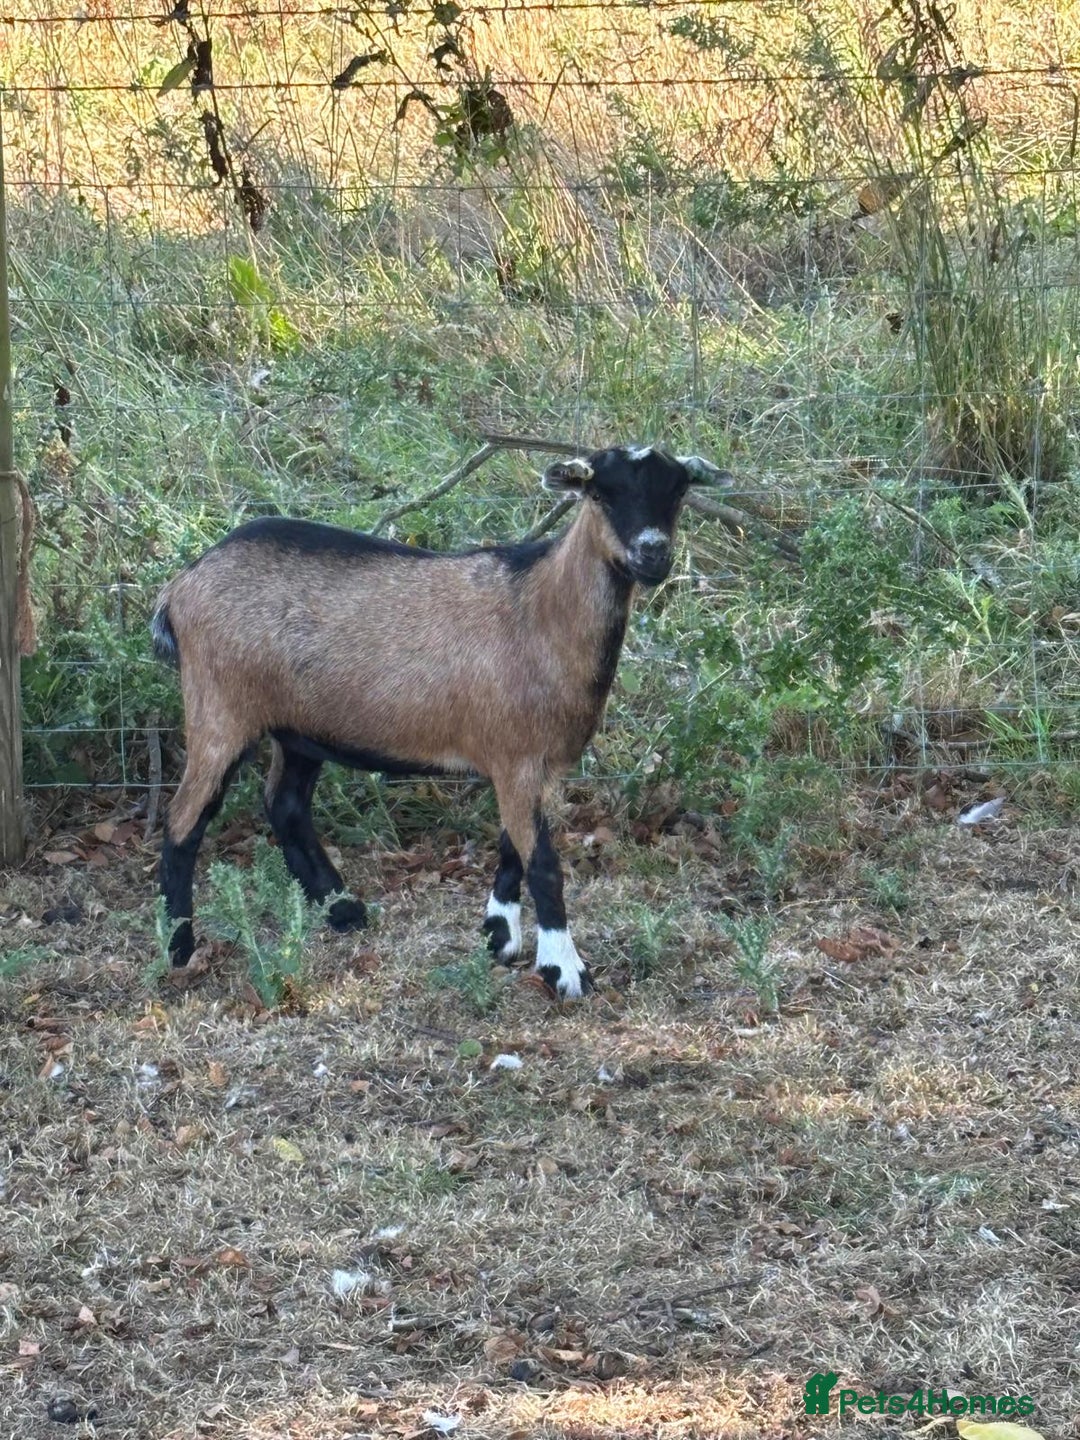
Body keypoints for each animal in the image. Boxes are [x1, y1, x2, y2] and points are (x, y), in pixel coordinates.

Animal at [152, 445, 729, 998]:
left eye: (678, 491)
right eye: (601, 492)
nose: (653, 553)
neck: (541, 611)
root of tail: (181, 586)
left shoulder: (524, 765)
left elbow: (512, 849)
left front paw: (499, 935)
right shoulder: (516, 758)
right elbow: (543, 864)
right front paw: (564, 971)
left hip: (300, 728)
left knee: (286, 805)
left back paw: (343, 910)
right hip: (220, 707)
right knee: (184, 819)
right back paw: (179, 946)